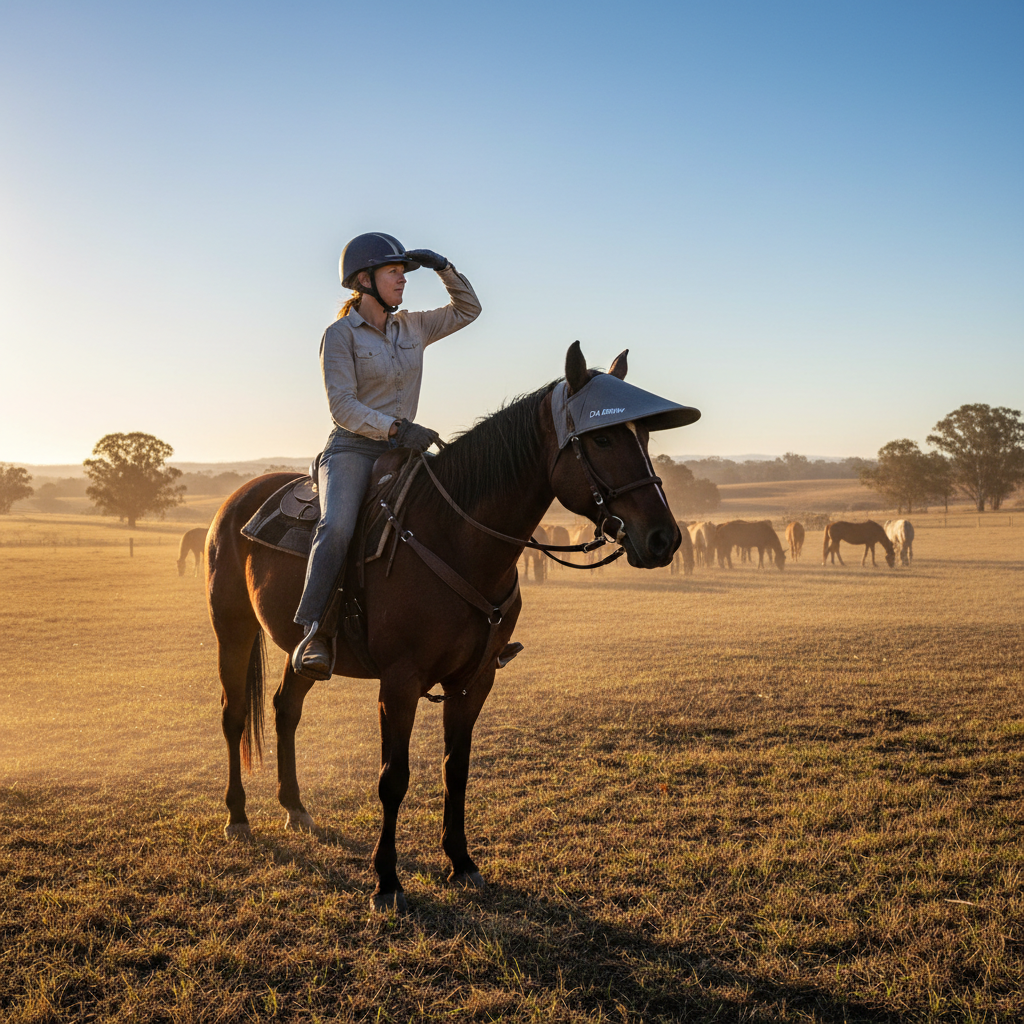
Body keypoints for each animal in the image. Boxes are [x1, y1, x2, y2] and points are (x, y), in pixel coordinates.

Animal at [205, 342, 683, 911]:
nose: (664, 538)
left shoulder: (474, 681)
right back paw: (237, 816)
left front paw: (461, 862)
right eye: (603, 437)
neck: (455, 537)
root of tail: (239, 499)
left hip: (302, 647)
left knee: (284, 708)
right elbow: (394, 779)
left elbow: (457, 769)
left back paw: (295, 807)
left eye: (645, 437)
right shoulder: (400, 682)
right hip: (231, 627)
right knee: (235, 715)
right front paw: (386, 882)